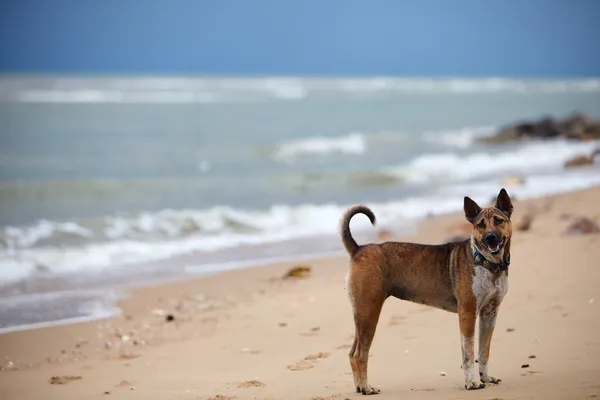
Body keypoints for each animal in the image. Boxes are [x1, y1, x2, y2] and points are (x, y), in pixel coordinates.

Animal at [340, 188, 512, 394]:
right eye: (480, 225)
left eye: (498, 220)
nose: (490, 237)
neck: (486, 263)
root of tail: (358, 249)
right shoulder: (468, 313)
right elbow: (469, 353)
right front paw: (472, 382)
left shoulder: (490, 314)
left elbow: (484, 350)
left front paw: (485, 377)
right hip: (369, 314)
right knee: (360, 355)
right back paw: (367, 387)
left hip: (361, 315)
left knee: (351, 353)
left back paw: (360, 387)